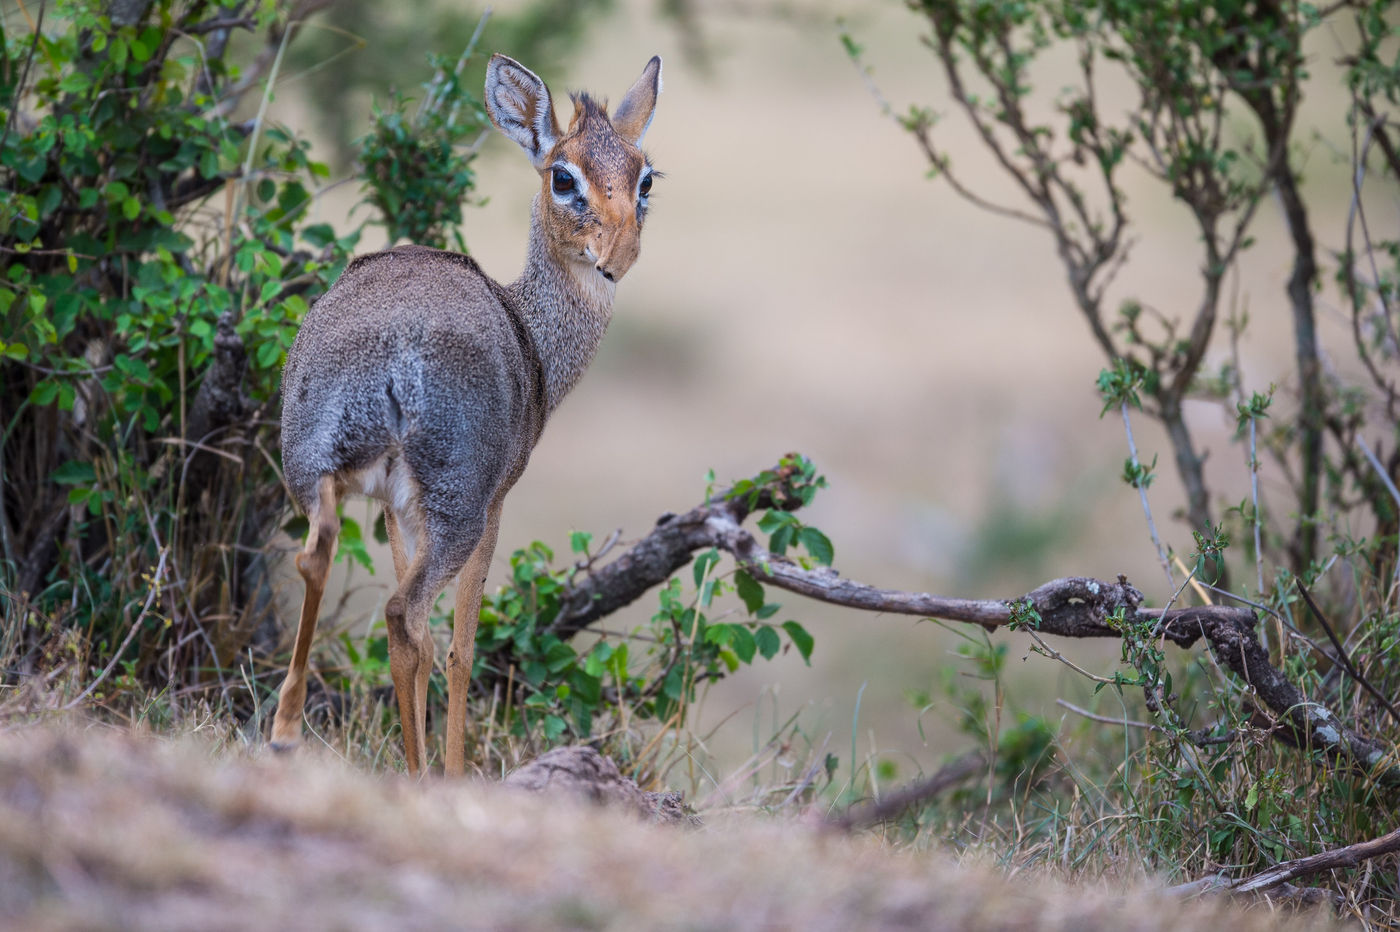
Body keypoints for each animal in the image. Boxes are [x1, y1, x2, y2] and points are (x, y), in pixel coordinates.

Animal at [274, 54, 666, 772]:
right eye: (563, 175)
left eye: (644, 175)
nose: (617, 256)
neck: (531, 333)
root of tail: (392, 354)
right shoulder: (497, 500)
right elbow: (460, 646)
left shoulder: (395, 507)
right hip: (460, 508)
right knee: (405, 614)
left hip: (316, 470)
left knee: (324, 562)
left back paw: (288, 729)